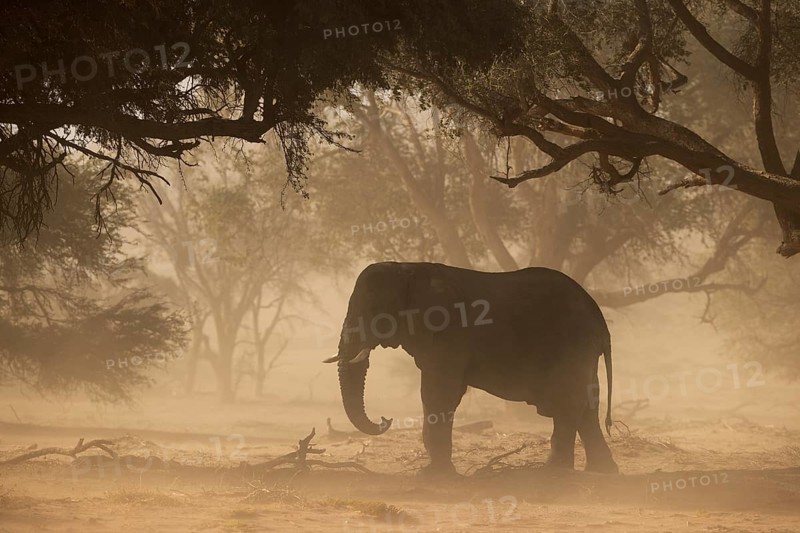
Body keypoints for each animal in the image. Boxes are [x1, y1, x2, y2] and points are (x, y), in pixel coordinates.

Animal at [325, 261, 618, 476]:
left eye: (375, 311)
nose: (386, 419)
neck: (408, 268)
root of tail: (598, 317)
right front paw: (435, 471)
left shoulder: (449, 331)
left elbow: (439, 392)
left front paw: (433, 475)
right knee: (587, 404)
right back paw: (602, 472)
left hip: (571, 343)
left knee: (569, 401)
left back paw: (552, 472)